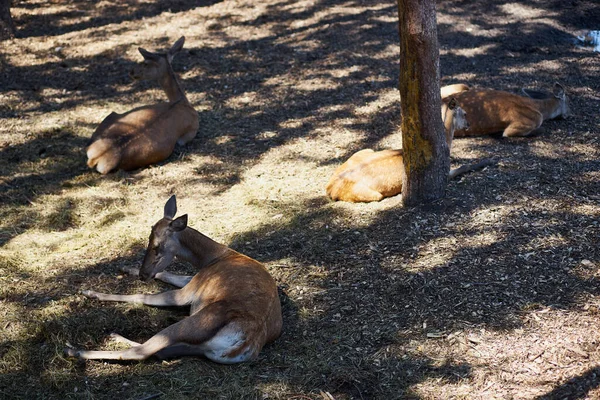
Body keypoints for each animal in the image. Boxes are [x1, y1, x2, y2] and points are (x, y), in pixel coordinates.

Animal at [65, 195, 282, 364]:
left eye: (157, 246)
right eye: (147, 239)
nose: (143, 274)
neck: (212, 258)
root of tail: (245, 343)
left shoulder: (189, 291)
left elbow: (142, 296)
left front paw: (90, 292)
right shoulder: (193, 279)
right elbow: (167, 274)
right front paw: (125, 267)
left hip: (192, 324)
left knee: (141, 352)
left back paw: (74, 349)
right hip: (196, 347)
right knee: (158, 352)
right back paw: (113, 335)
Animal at [326, 97, 490, 203]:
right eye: (465, 113)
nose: (469, 124)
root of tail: (330, 188)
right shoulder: (444, 173)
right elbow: (464, 166)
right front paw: (489, 160)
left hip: (365, 150)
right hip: (370, 194)